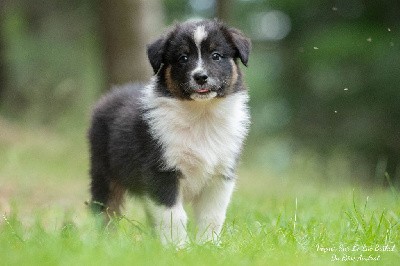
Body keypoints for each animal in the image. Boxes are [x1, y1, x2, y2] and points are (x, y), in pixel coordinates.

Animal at [89, 19, 252, 246]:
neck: (201, 115)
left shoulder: (221, 174)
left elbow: (212, 215)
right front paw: (178, 247)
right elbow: (173, 215)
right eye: (183, 58)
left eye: (216, 55)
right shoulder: (162, 171)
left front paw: (208, 245)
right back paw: (105, 242)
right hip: (104, 171)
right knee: (106, 209)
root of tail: (111, 94)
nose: (200, 77)